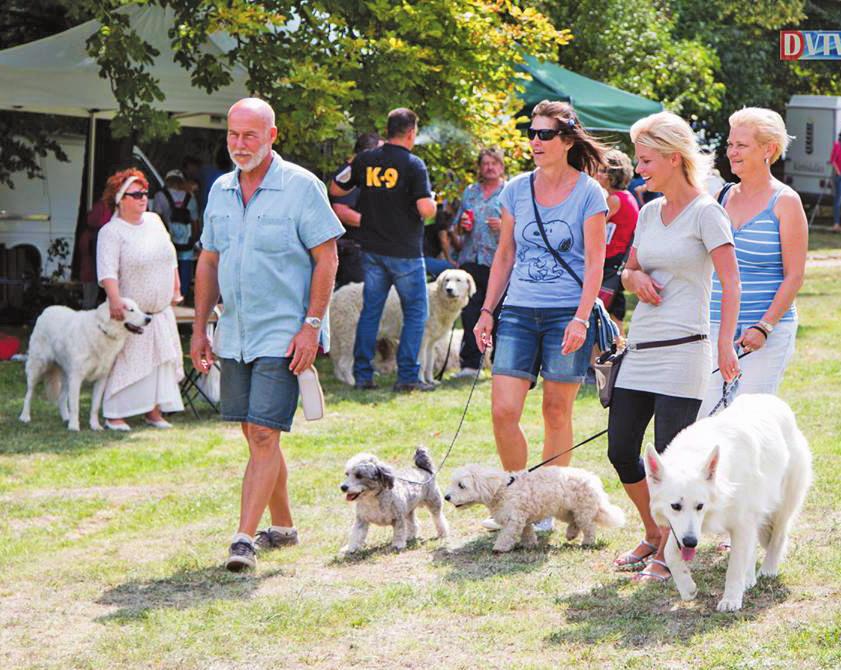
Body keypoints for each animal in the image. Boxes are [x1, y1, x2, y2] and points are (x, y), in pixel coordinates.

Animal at [18, 300, 151, 430]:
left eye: (138, 308)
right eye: (130, 310)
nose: (149, 319)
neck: (103, 331)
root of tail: (47, 310)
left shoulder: (101, 379)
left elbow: (95, 406)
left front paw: (95, 426)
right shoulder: (76, 378)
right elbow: (75, 406)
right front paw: (74, 427)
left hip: (66, 375)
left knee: (61, 398)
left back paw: (66, 418)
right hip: (36, 368)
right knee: (29, 394)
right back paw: (25, 417)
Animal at [328, 266, 476, 384]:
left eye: (458, 280)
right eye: (447, 280)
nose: (449, 289)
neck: (438, 299)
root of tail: (335, 296)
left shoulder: (431, 343)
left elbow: (429, 363)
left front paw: (431, 381)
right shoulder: (421, 340)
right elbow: (421, 363)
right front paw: (421, 382)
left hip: (338, 336)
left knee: (336, 360)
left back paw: (341, 380)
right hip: (351, 336)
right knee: (343, 363)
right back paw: (351, 382)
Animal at [446, 464, 624, 552]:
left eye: (461, 485)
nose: (446, 497)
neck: (504, 489)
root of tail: (593, 480)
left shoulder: (513, 520)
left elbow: (506, 535)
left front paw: (500, 548)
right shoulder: (522, 518)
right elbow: (527, 532)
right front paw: (529, 544)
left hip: (582, 509)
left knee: (589, 527)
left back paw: (587, 542)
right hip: (565, 509)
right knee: (574, 522)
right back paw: (571, 534)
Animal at [644, 394, 812, 616]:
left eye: (700, 506)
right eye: (675, 506)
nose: (691, 543)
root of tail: (772, 399)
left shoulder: (740, 523)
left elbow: (735, 566)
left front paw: (731, 599)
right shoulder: (686, 529)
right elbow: (670, 553)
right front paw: (687, 588)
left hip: (782, 505)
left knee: (778, 537)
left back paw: (768, 570)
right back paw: (749, 578)